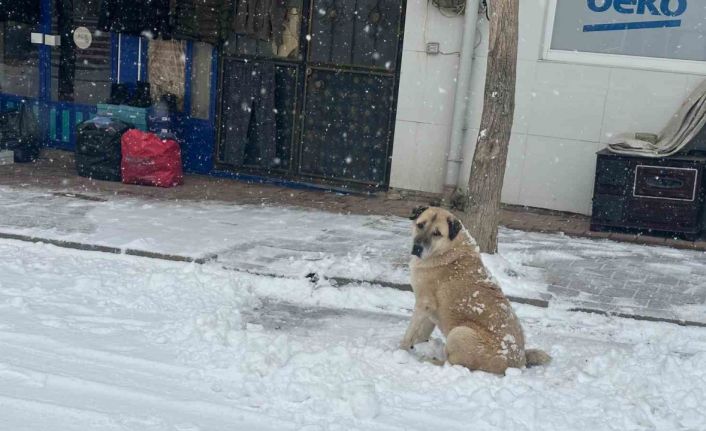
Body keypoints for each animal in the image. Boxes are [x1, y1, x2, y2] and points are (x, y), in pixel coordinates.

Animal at [398, 207, 548, 374]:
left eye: (437, 233)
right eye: (420, 225)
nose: (417, 248)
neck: (448, 248)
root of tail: (518, 363)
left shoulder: (423, 304)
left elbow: (410, 332)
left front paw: (400, 349)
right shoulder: (429, 312)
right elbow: (420, 333)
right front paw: (416, 345)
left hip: (459, 332)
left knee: (453, 364)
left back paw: (429, 360)